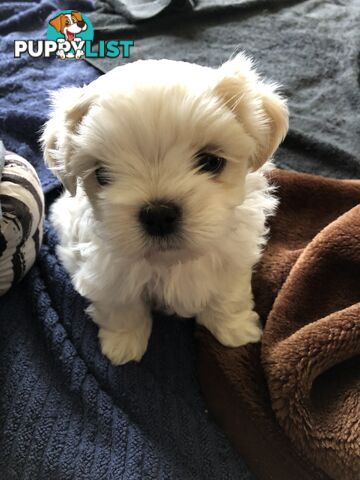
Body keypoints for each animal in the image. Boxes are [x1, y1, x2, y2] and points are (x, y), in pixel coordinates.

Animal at [42, 54, 288, 366]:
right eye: (102, 174)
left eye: (211, 161)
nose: (158, 214)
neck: (170, 261)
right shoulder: (107, 270)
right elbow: (121, 304)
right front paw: (123, 344)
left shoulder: (234, 255)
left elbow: (227, 293)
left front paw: (235, 329)